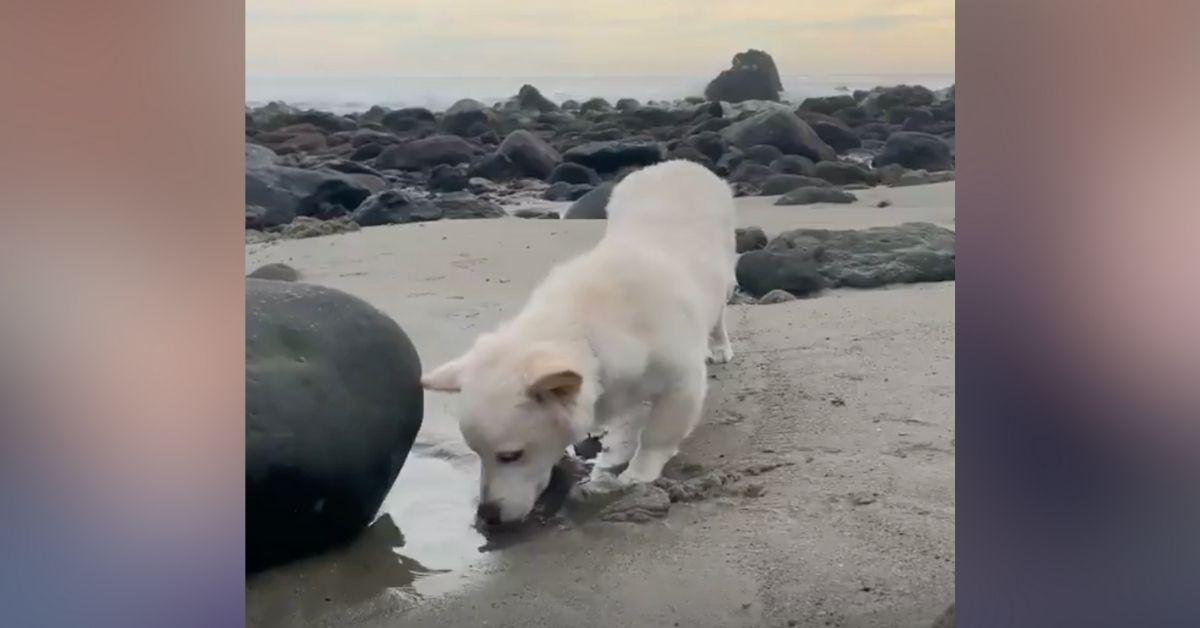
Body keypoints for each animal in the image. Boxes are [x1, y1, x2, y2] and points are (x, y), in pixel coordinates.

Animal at [422, 160, 739, 525]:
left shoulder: (681, 382)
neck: (581, 329)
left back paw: (719, 345)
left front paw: (639, 473)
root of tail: (678, 164)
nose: (487, 515)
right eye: (477, 453)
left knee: (719, 314)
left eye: (511, 455)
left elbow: (657, 434)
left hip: (724, 278)